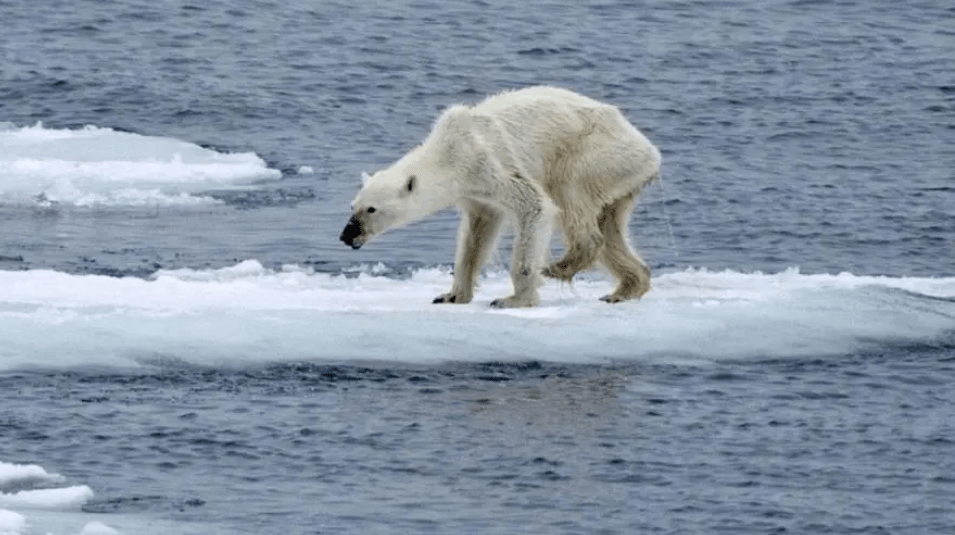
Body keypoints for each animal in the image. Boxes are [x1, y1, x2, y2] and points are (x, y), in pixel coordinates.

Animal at [340, 85, 660, 308]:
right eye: (352, 205)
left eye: (371, 209)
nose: (346, 235)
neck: (449, 151)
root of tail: (651, 152)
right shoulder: (474, 192)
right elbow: (477, 235)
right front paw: (452, 294)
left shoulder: (489, 163)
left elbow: (535, 206)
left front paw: (513, 299)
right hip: (620, 177)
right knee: (610, 226)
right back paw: (624, 289)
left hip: (595, 154)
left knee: (570, 194)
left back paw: (560, 266)